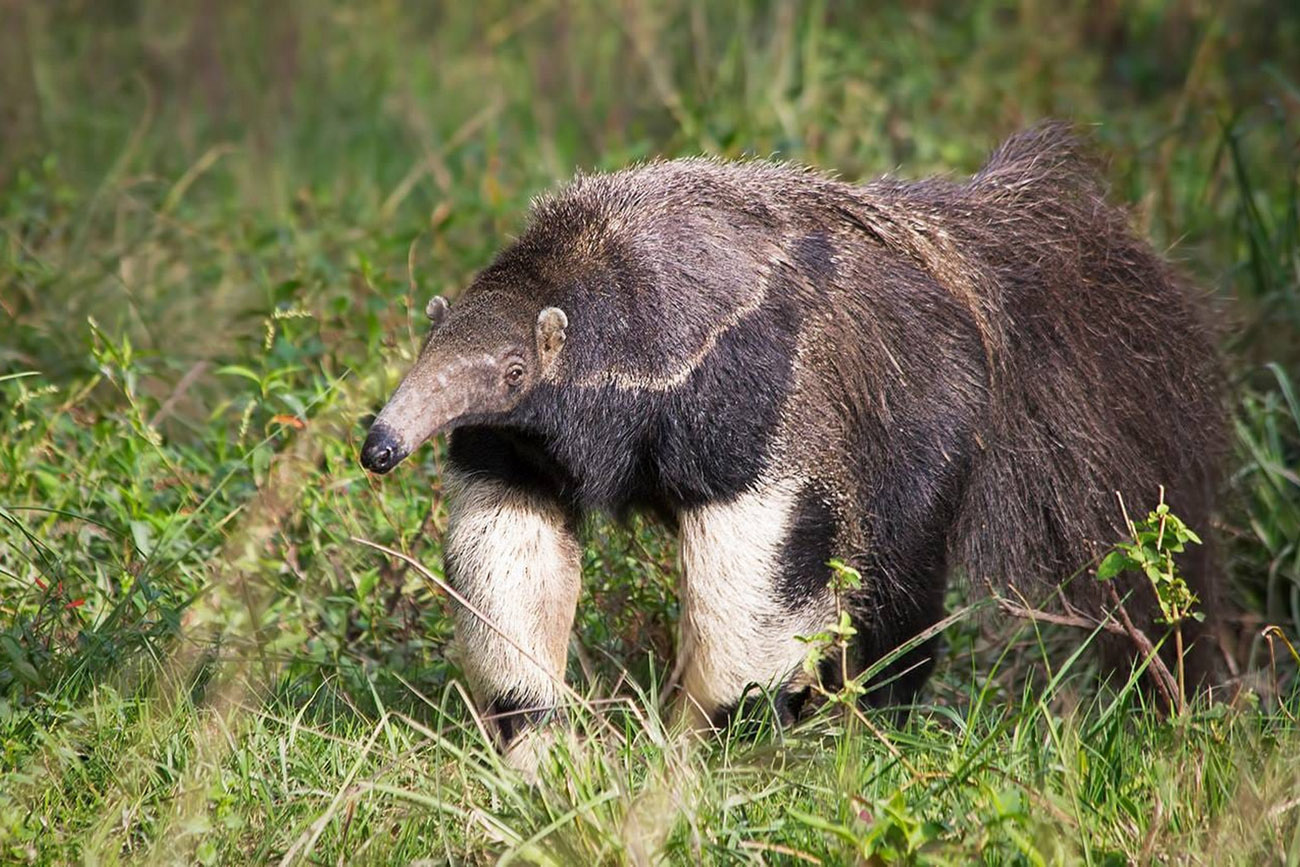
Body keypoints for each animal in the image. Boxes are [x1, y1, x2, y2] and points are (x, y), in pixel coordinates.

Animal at [360, 123, 1227, 763]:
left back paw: (877, 713)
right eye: (430, 352)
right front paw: (538, 738)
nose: (380, 445)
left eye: (511, 368)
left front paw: (708, 743)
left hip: (920, 409)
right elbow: (514, 539)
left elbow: (757, 556)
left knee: (897, 573)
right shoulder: (525, 440)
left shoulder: (752, 388)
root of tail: (957, 267)